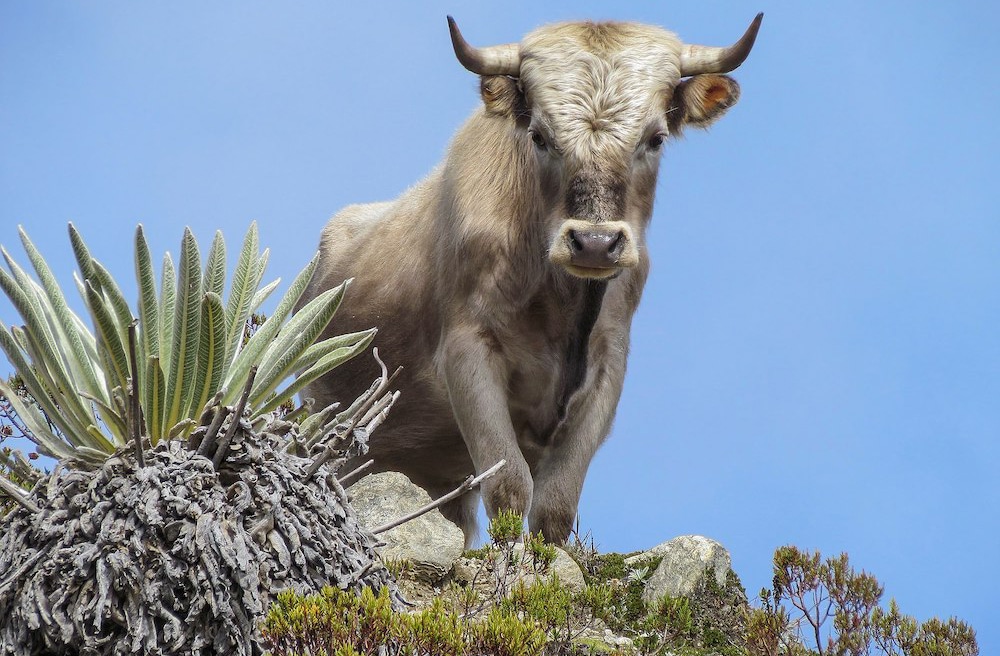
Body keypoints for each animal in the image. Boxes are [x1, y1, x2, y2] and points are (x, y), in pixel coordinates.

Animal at [300, 14, 760, 544]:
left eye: (656, 137)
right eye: (539, 136)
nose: (595, 242)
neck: (560, 307)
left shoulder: (609, 365)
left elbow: (556, 506)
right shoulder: (467, 350)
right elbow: (509, 487)